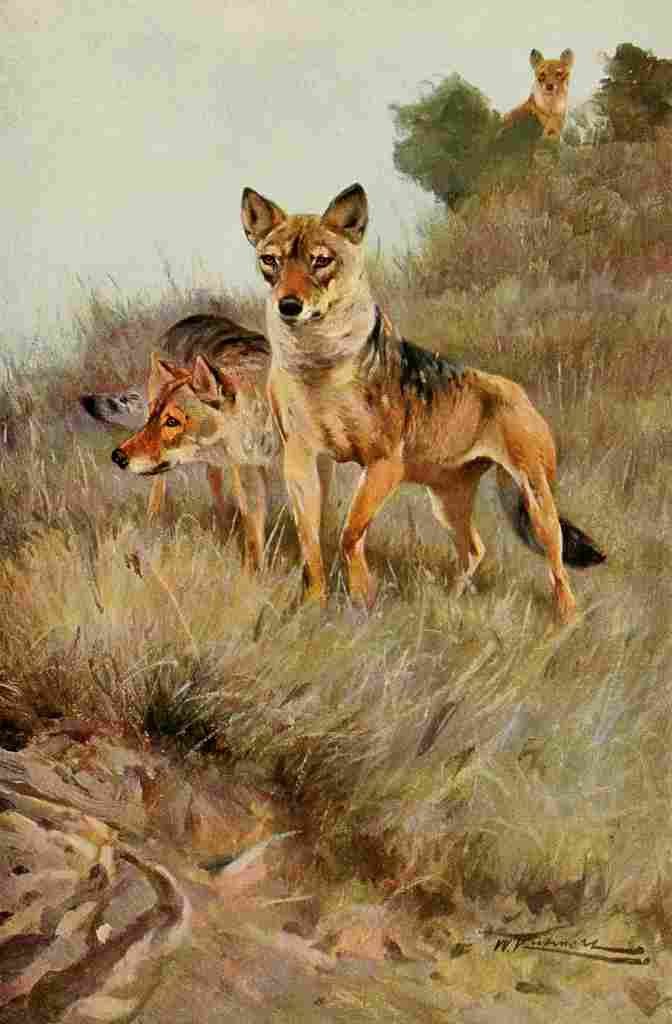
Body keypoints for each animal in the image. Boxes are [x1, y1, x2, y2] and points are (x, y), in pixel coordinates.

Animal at [240, 182, 605, 622]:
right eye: (270, 261)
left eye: (321, 261)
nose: (289, 306)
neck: (320, 363)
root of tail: (518, 391)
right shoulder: (301, 461)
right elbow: (311, 543)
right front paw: (316, 604)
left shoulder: (383, 465)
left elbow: (349, 534)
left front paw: (362, 598)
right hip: (447, 504)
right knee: (474, 549)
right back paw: (452, 602)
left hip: (536, 503)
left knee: (556, 568)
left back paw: (566, 620)